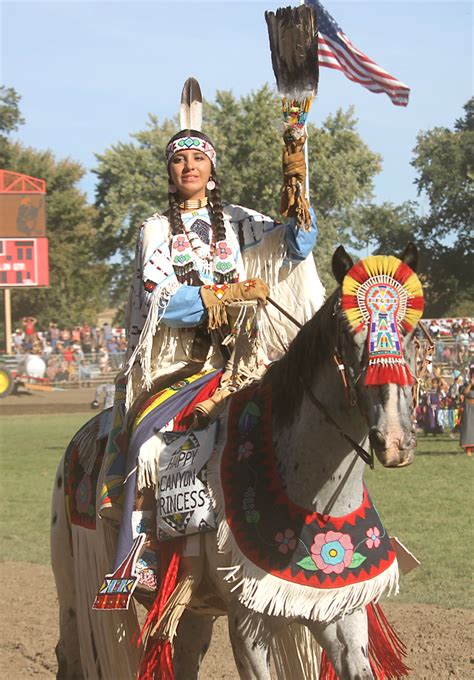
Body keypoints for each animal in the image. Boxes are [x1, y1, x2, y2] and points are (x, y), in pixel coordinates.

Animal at [51, 246, 422, 680]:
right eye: (348, 333)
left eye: (413, 332)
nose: (395, 440)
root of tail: (83, 437)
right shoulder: (247, 627)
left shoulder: (340, 615)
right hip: (73, 588)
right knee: (69, 655)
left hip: (191, 611)